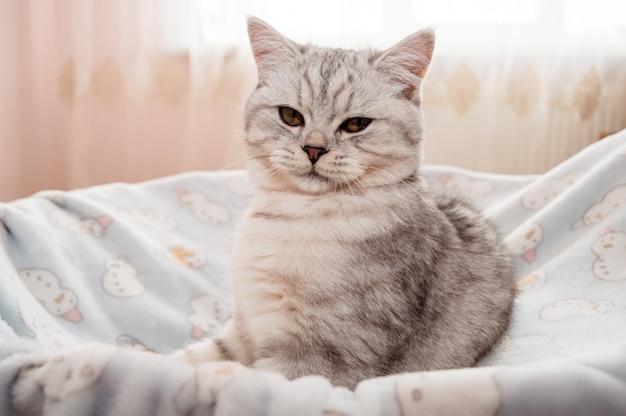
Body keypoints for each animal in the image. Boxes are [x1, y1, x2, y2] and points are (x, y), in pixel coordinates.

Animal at [173, 17, 516, 390]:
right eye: (290, 116)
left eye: (355, 124)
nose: (313, 149)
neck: (295, 215)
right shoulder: (244, 329)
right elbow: (189, 360)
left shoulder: (320, 358)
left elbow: (238, 379)